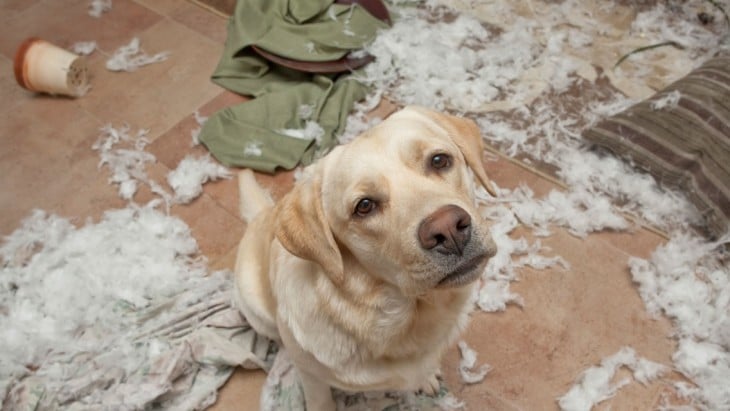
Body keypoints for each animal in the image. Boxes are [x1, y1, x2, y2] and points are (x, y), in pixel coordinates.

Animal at [233, 107, 494, 411]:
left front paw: (427, 376)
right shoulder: (311, 376)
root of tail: (264, 214)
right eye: (364, 206)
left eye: (439, 160)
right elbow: (320, 400)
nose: (449, 230)